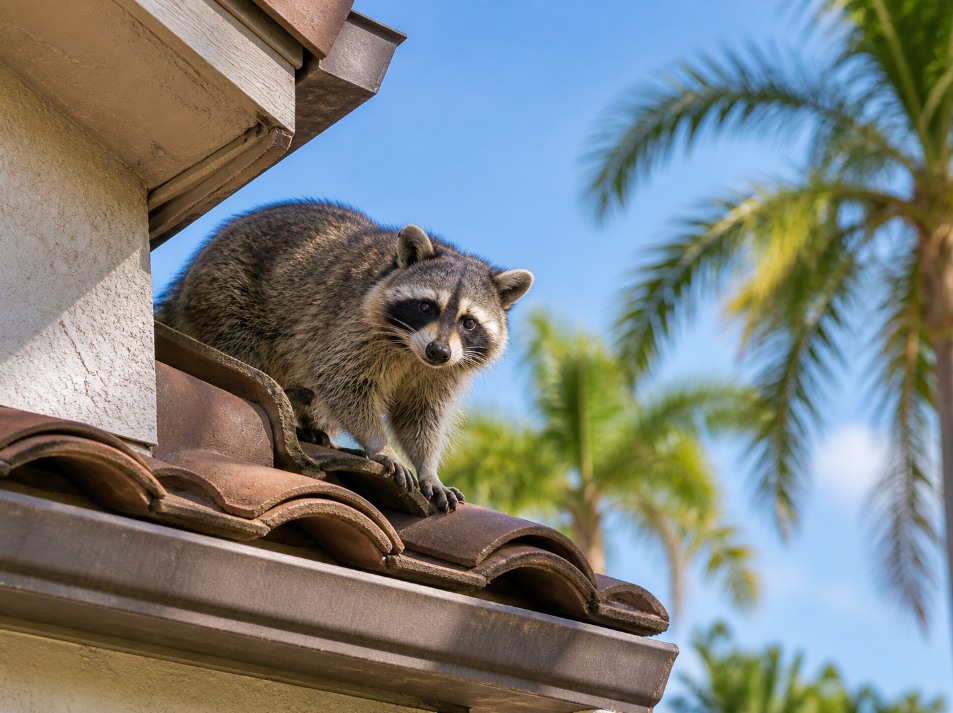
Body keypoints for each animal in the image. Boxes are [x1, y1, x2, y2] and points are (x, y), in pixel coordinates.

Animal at [156, 201, 533, 512]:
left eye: (468, 322)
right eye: (426, 307)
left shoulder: (442, 371)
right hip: (225, 293)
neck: (411, 352)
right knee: (245, 348)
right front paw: (380, 446)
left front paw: (429, 469)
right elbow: (344, 384)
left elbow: (419, 415)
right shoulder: (351, 325)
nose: (438, 351)